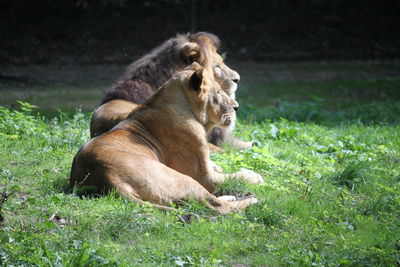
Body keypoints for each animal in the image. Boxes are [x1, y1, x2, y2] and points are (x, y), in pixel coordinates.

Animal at [70, 63, 264, 215]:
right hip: (185, 180)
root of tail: (105, 176)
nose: (236, 107)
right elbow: (235, 176)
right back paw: (252, 199)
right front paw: (253, 175)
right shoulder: (204, 176)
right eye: (218, 92)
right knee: (217, 206)